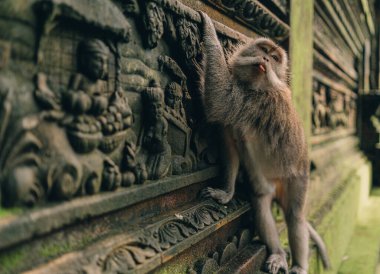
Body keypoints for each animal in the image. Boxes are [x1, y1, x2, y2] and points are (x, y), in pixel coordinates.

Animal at [199, 11, 330, 272]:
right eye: (264, 49)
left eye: (275, 57)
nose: (266, 59)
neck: (253, 86)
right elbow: (231, 149)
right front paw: (226, 192)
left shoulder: (259, 101)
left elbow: (219, 100)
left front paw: (209, 29)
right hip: (266, 182)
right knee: (262, 205)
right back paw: (278, 252)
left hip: (298, 176)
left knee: (295, 218)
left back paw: (299, 264)